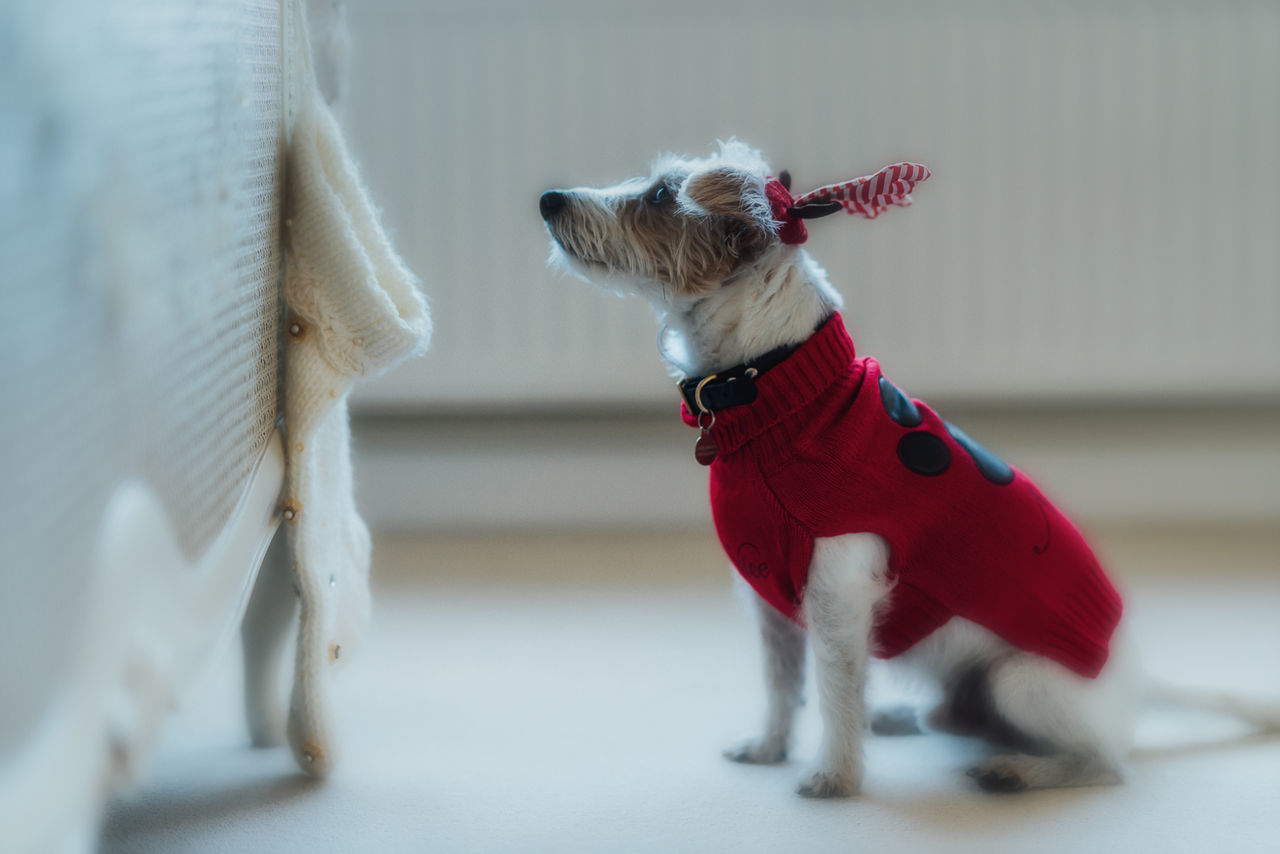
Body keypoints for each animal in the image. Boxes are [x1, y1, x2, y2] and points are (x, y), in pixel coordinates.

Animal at [540, 142, 1280, 804]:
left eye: (661, 195)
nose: (548, 199)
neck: (776, 391)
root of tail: (1138, 680)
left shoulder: (838, 598)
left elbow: (834, 691)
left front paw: (835, 778)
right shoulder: (770, 599)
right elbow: (781, 686)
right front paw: (771, 748)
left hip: (1021, 681)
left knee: (1104, 763)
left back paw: (1017, 771)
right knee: (959, 718)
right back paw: (908, 718)